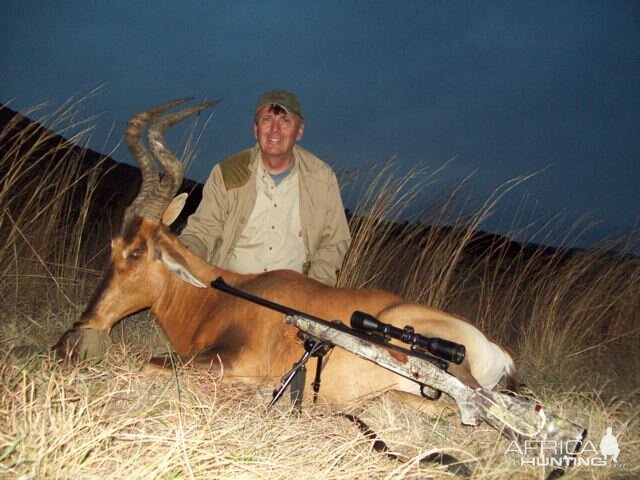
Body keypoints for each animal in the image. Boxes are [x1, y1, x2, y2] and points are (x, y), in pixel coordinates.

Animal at [55, 99, 516, 406]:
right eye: (112, 246)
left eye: (136, 253)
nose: (72, 338)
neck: (218, 294)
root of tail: (497, 353)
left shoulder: (228, 360)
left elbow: (148, 365)